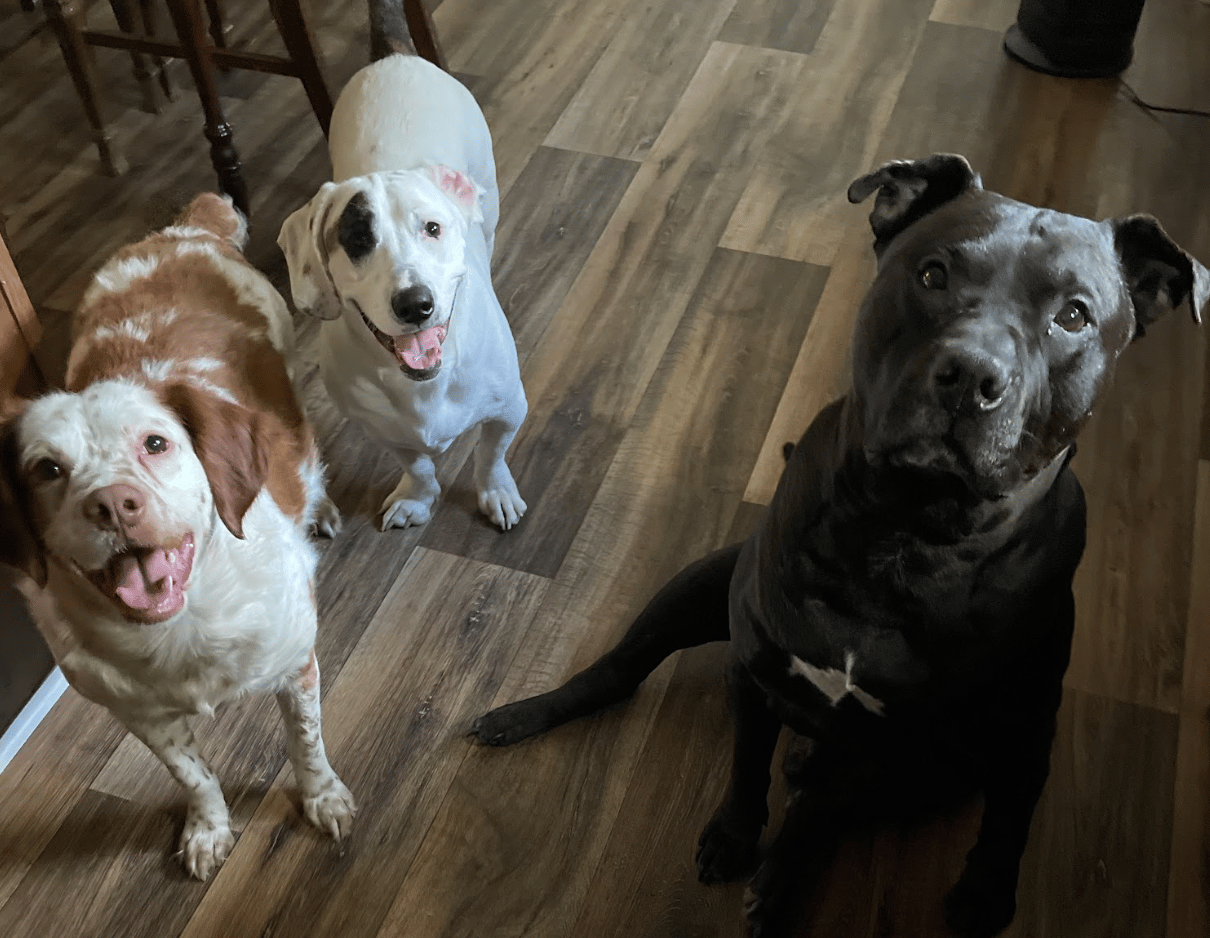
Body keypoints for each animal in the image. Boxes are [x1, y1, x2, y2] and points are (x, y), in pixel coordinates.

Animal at [0, 193, 355, 880]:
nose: (113, 504)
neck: (185, 622)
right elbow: (193, 776)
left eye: (156, 443)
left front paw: (322, 798)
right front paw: (208, 830)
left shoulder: (297, 666)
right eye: (46, 469)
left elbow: (308, 745)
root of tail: (185, 229)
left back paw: (318, 507)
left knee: (307, 451)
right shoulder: (142, 716)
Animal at [277, 0, 528, 532]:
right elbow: (416, 465)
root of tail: (394, 55)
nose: (415, 304)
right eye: (357, 239)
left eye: (432, 228)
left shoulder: (508, 411)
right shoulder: (379, 428)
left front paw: (495, 490)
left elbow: (490, 455)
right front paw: (417, 498)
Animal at [470, 154, 1208, 937]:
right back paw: (523, 714)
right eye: (933, 274)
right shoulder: (754, 671)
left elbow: (833, 809)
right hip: (697, 586)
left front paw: (779, 871)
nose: (971, 377)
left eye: (1074, 315)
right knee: (620, 670)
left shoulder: (923, 748)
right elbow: (746, 769)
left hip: (973, 756)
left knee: (920, 805)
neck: (908, 535)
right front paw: (735, 834)